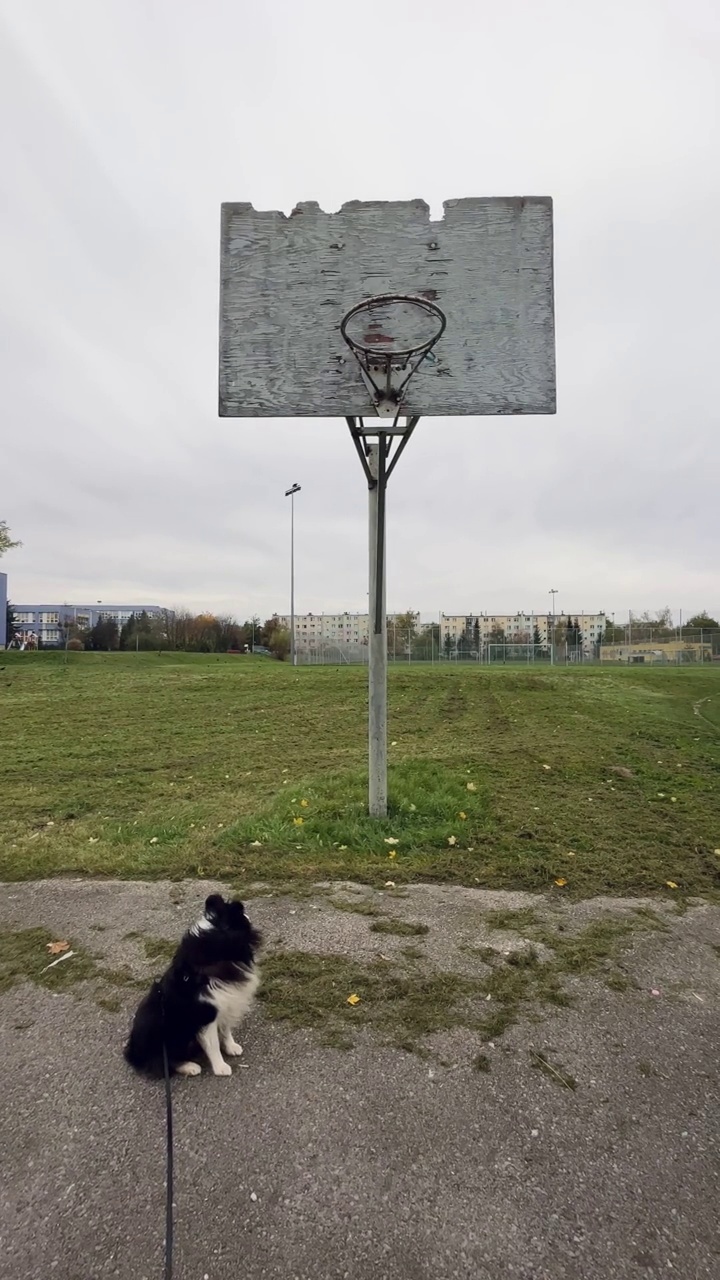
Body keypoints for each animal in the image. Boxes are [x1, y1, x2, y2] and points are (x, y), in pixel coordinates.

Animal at [122, 901, 260, 1080]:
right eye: (241, 916)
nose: (249, 916)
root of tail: (133, 1052)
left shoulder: (225, 1004)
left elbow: (225, 1030)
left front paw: (231, 1047)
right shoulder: (206, 1016)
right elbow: (214, 1044)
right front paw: (220, 1067)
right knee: (163, 1063)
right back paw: (190, 1066)